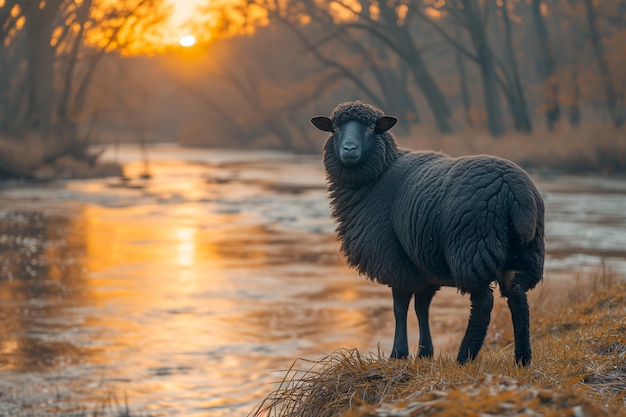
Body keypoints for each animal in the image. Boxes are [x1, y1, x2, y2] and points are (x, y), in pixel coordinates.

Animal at [310, 100, 540, 364]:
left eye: (371, 128)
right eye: (335, 128)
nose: (349, 149)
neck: (379, 176)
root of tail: (513, 191)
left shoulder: (395, 260)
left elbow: (399, 307)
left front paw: (398, 354)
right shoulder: (423, 267)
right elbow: (422, 307)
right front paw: (424, 353)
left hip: (473, 246)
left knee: (483, 302)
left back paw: (464, 357)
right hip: (525, 252)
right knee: (518, 296)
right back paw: (522, 359)